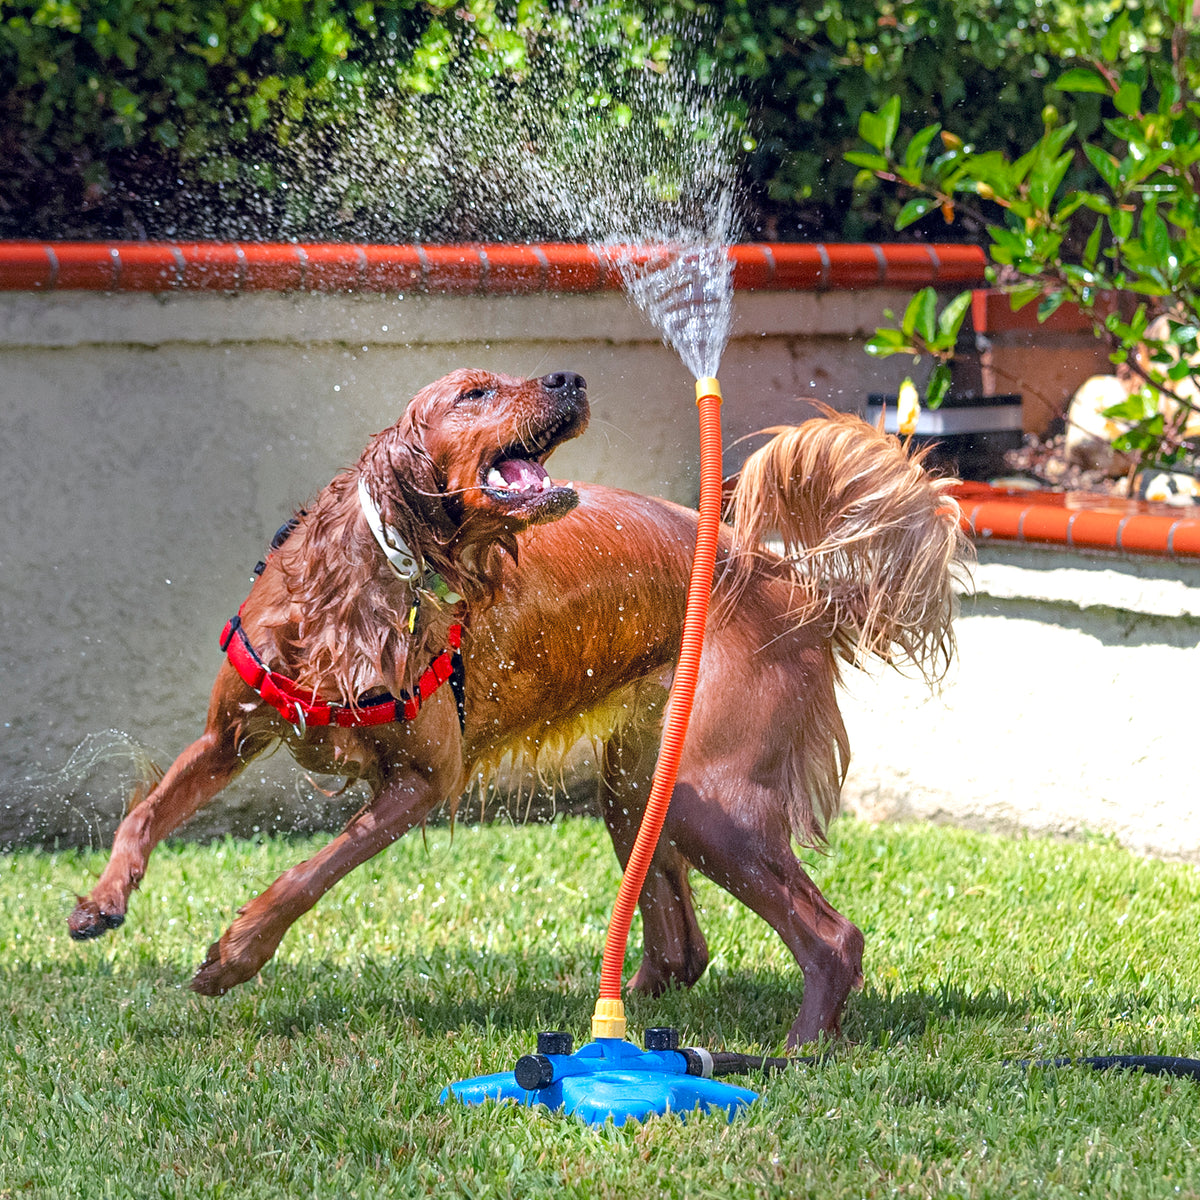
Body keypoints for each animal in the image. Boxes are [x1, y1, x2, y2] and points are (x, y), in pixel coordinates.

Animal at [68, 367, 964, 1051]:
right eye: (474, 392)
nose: (570, 376)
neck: (363, 585)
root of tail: (787, 584)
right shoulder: (228, 733)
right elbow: (143, 813)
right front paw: (102, 900)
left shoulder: (422, 782)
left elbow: (304, 876)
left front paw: (236, 952)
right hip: (640, 785)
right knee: (685, 945)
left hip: (712, 800)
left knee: (832, 938)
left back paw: (799, 1051)